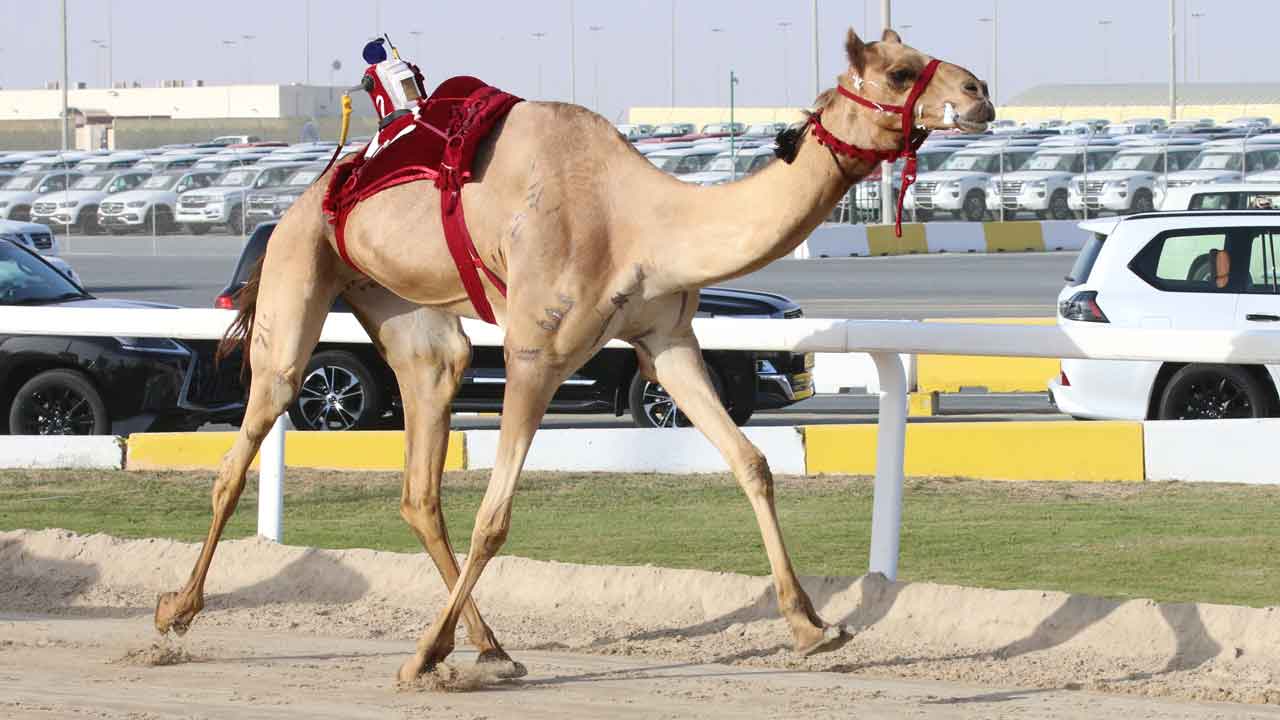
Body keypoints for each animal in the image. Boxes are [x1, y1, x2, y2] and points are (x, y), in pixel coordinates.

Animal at [153, 26, 994, 682]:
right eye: (898, 71)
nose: (979, 89)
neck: (640, 220)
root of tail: (314, 188)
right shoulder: (535, 350)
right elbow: (496, 516)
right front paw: (419, 658)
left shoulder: (667, 340)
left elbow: (751, 462)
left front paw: (813, 628)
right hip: (299, 284)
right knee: (246, 442)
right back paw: (175, 614)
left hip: (413, 321)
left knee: (420, 481)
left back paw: (489, 648)